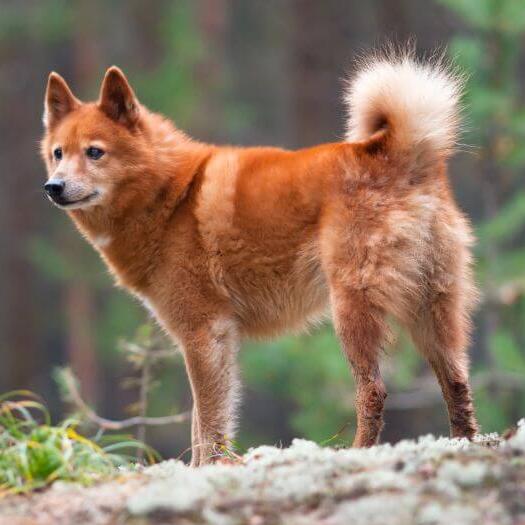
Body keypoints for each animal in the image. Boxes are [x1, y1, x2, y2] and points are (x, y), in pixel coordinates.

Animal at [42, 51, 478, 464]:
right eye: (58, 153)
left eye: (95, 152)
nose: (53, 187)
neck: (170, 194)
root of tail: (398, 153)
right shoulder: (215, 339)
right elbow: (203, 421)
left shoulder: (204, 333)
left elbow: (208, 423)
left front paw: (208, 467)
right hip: (432, 310)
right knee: (457, 382)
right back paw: (464, 443)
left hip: (352, 310)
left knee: (373, 391)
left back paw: (358, 450)